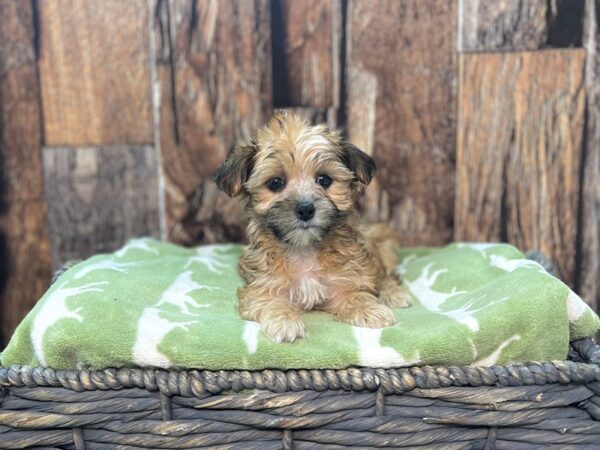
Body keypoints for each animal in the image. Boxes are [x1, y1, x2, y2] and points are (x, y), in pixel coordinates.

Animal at [216, 111, 412, 342]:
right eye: (275, 183)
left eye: (324, 180)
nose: (305, 210)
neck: (304, 248)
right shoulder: (261, 287)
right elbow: (272, 300)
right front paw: (285, 321)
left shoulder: (347, 278)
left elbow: (355, 293)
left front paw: (370, 310)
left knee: (386, 274)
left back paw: (394, 293)